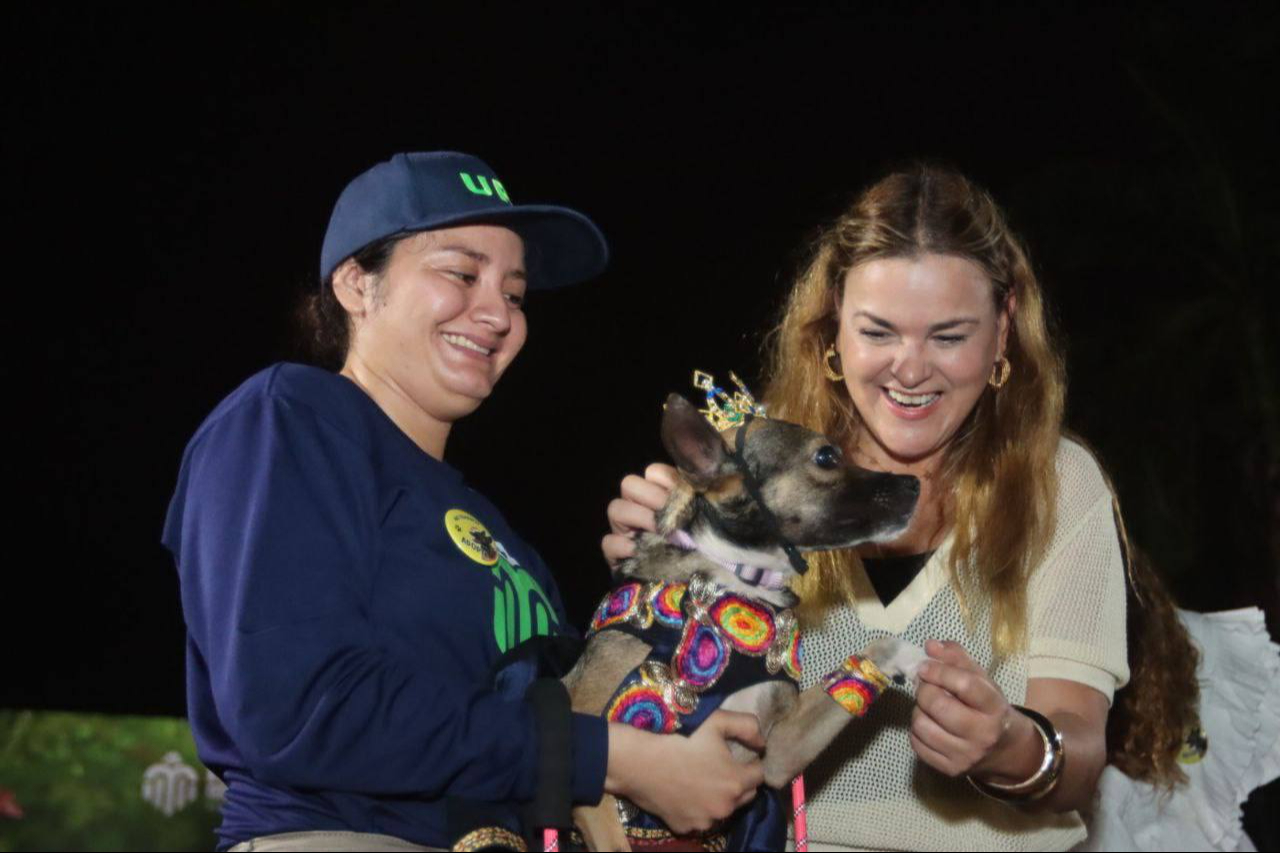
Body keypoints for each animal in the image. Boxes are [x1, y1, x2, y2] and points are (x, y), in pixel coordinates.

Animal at [565, 394, 926, 845]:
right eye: (826, 456)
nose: (915, 484)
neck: (734, 577)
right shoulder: (596, 767)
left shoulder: (777, 754)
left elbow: (875, 652)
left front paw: (920, 663)